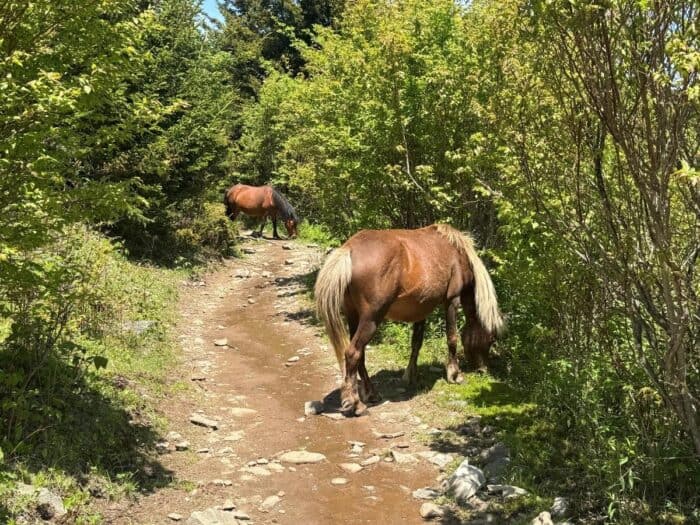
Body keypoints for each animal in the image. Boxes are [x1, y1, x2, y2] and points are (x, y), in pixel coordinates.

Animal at [314, 223, 504, 417]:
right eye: (490, 339)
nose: (483, 369)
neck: (458, 254)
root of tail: (349, 249)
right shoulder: (452, 300)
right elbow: (452, 338)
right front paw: (454, 374)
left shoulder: (421, 310)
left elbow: (416, 343)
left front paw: (410, 375)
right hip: (371, 319)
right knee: (353, 353)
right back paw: (356, 404)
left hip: (353, 317)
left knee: (360, 355)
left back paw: (372, 394)